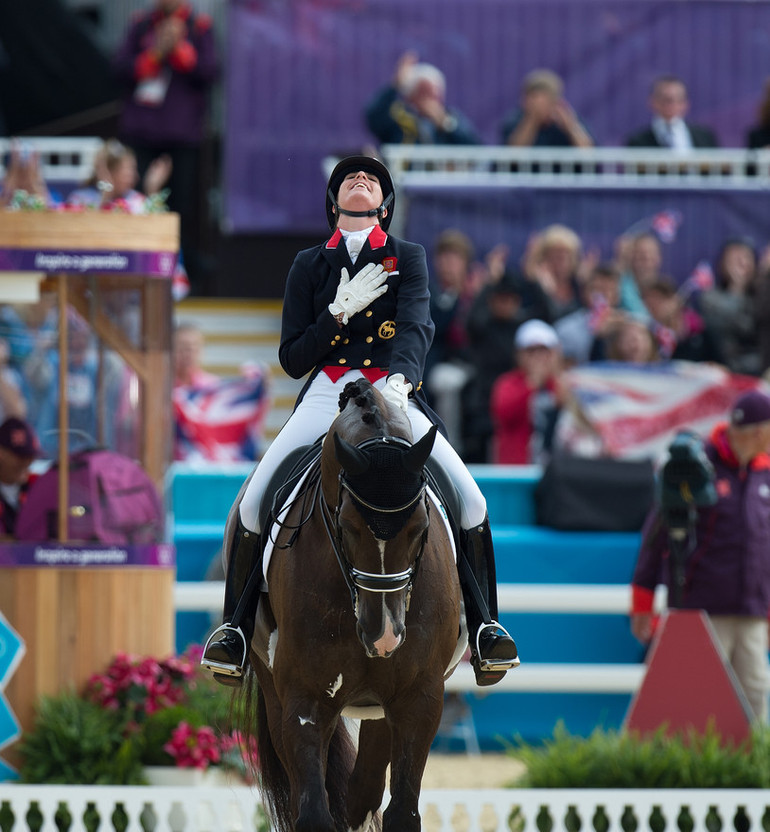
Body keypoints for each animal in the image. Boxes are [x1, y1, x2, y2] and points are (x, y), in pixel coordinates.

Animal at [238, 380, 462, 832]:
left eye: (421, 527)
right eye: (346, 526)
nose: (384, 637)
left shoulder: (420, 698)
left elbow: (402, 812)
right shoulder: (305, 700)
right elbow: (313, 811)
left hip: (382, 708)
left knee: (363, 791)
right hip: (275, 690)